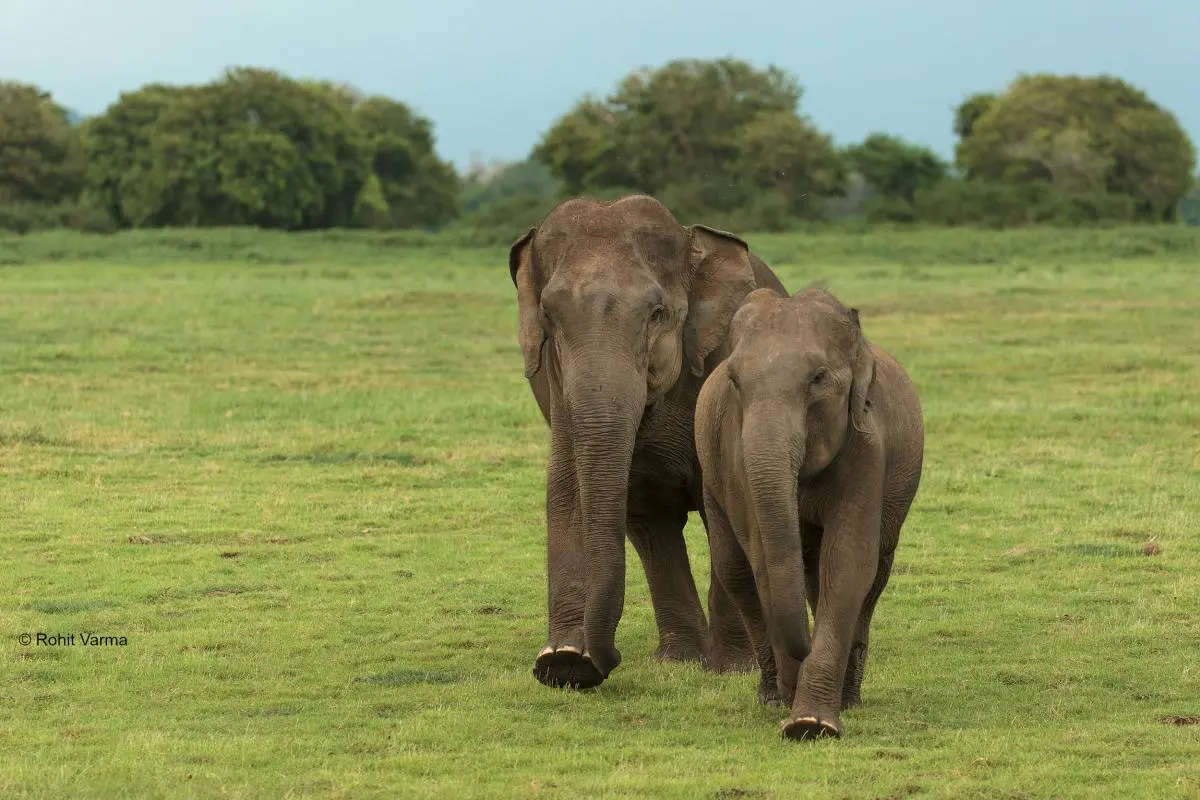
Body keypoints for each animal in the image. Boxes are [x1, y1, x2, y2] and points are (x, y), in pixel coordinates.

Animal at [506, 191, 787, 690]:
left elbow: (717, 504)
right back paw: (678, 659)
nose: (604, 661)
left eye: (657, 315)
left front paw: (734, 670)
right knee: (651, 524)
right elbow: (565, 490)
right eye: (549, 317)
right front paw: (560, 660)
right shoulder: (558, 389)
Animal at [691, 286, 921, 738]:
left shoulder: (868, 445)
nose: (806, 646)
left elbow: (849, 562)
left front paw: (811, 723)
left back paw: (845, 698)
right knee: (737, 569)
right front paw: (795, 705)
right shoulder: (735, 453)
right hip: (711, 480)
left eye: (818, 378)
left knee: (872, 576)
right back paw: (772, 694)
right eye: (734, 381)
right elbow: (764, 559)